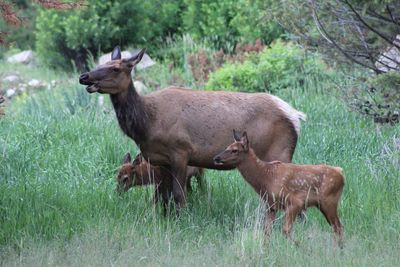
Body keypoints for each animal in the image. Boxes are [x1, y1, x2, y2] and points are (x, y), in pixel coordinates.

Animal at [79, 46, 306, 216]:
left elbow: (179, 195)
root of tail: (295, 116)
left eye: (116, 68)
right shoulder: (162, 162)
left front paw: (183, 221)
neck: (146, 124)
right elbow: (163, 197)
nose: (84, 76)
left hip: (280, 152)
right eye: (101, 64)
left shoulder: (180, 152)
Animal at [214, 131, 346, 246]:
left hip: (329, 201)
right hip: (323, 204)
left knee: (338, 227)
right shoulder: (271, 206)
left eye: (234, 150)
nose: (216, 158)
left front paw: (302, 247)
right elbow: (267, 232)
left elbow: (285, 230)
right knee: (337, 227)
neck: (266, 179)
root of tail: (340, 172)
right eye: (227, 147)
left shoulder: (295, 202)